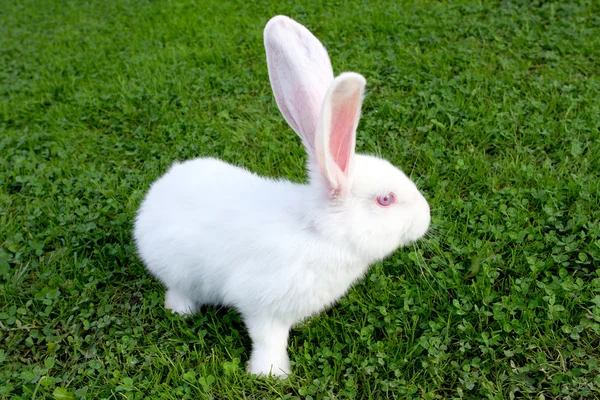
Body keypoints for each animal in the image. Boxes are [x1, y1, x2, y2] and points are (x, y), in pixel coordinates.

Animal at [134, 15, 428, 376]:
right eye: (386, 199)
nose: (427, 217)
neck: (317, 232)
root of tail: (153, 196)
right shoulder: (263, 306)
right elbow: (269, 340)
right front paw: (272, 374)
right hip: (179, 272)